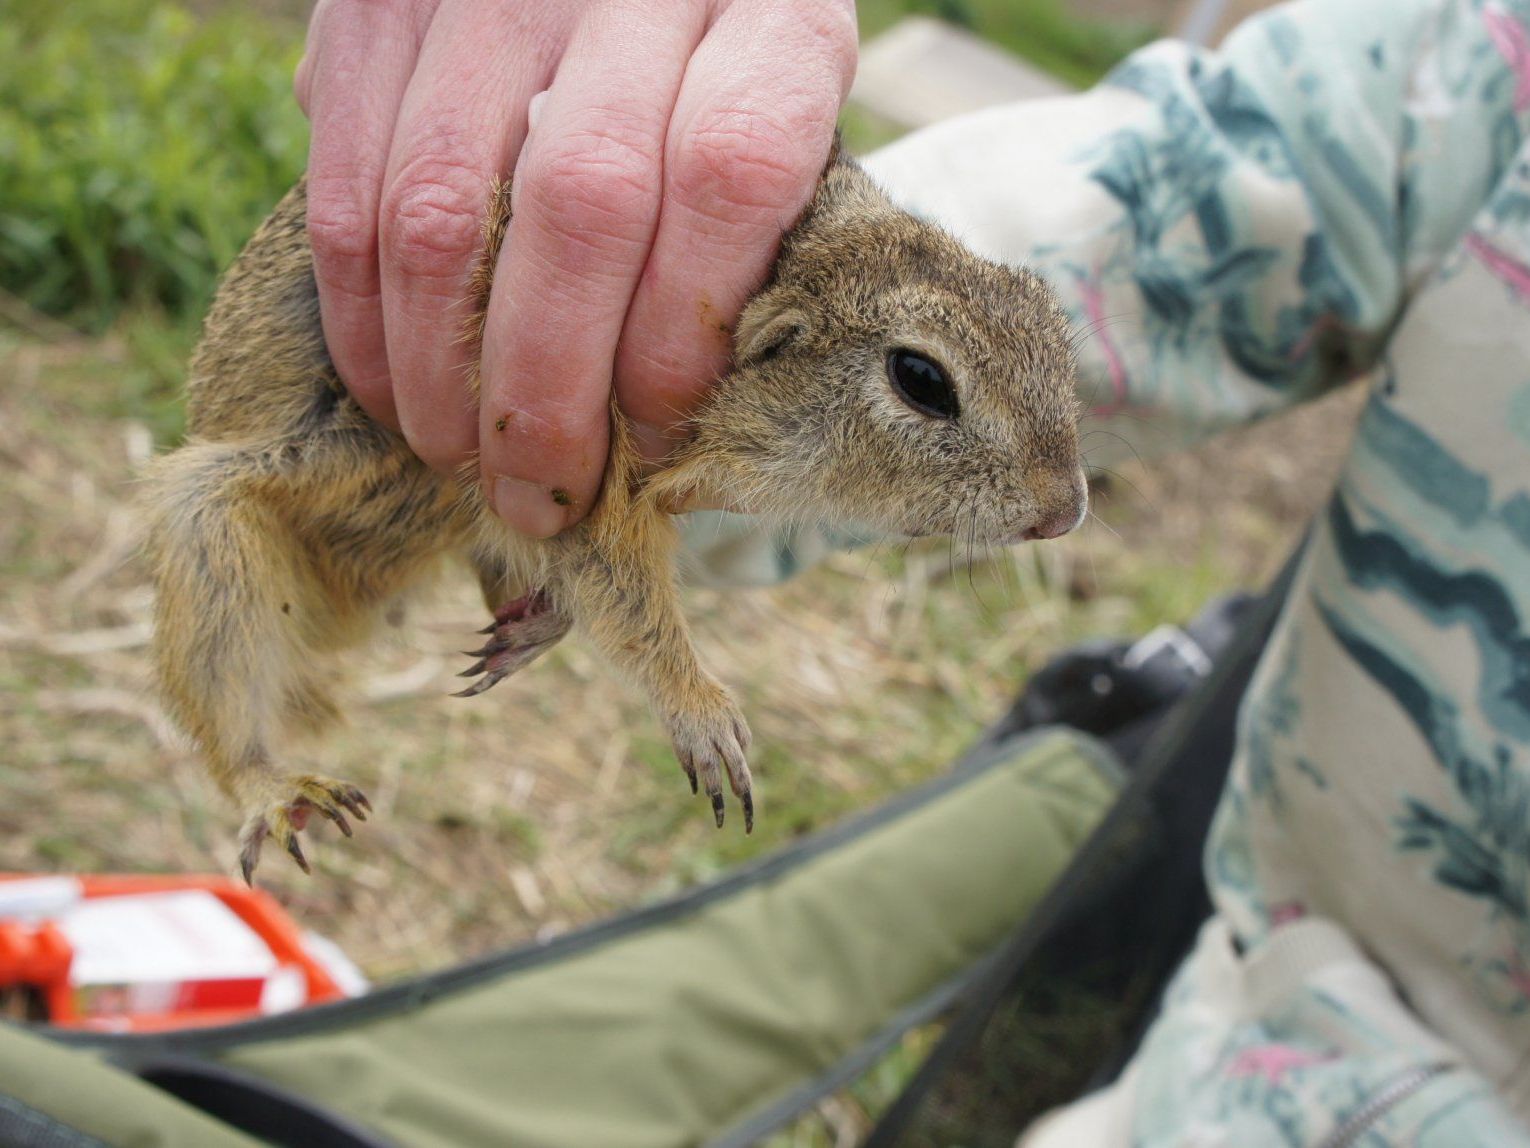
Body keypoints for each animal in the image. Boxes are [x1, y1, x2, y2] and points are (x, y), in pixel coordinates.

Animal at [137, 143, 1083, 881]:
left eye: (1047, 314)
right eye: (920, 379)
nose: (1067, 511)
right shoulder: (580, 467)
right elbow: (627, 597)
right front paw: (702, 711)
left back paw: (525, 627)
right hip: (214, 520)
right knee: (228, 716)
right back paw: (275, 788)